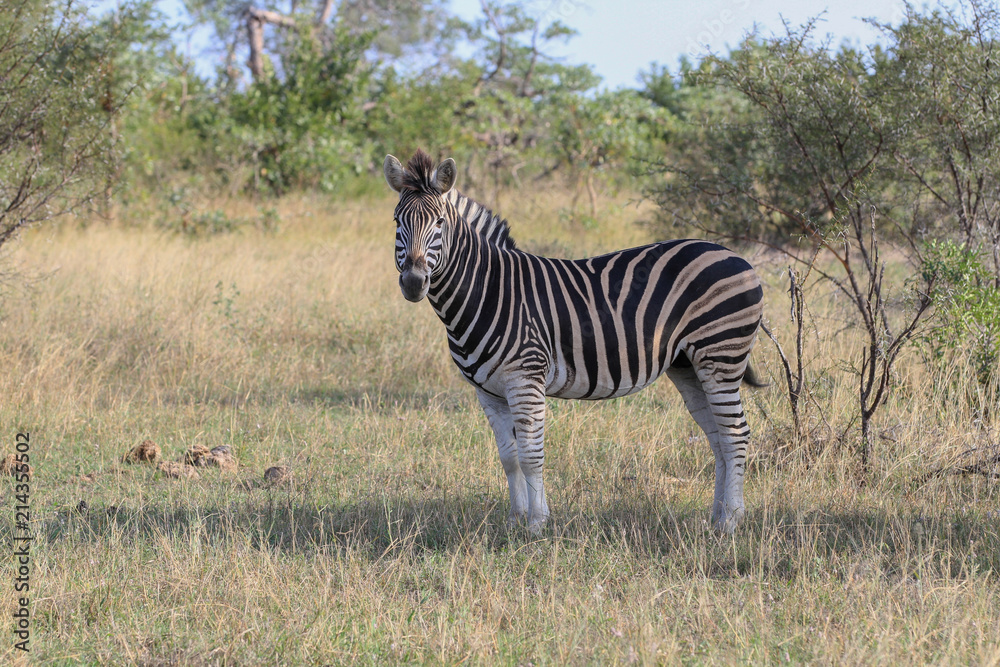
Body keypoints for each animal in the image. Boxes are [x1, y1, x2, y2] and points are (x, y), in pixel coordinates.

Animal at [383, 149, 765, 534]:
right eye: (397, 221)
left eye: (439, 224)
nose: (414, 282)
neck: (488, 290)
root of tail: (734, 254)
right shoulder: (488, 391)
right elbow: (508, 456)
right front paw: (514, 521)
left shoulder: (526, 379)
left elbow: (531, 455)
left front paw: (537, 524)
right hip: (689, 365)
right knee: (718, 437)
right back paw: (715, 518)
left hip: (720, 355)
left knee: (735, 434)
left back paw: (731, 521)